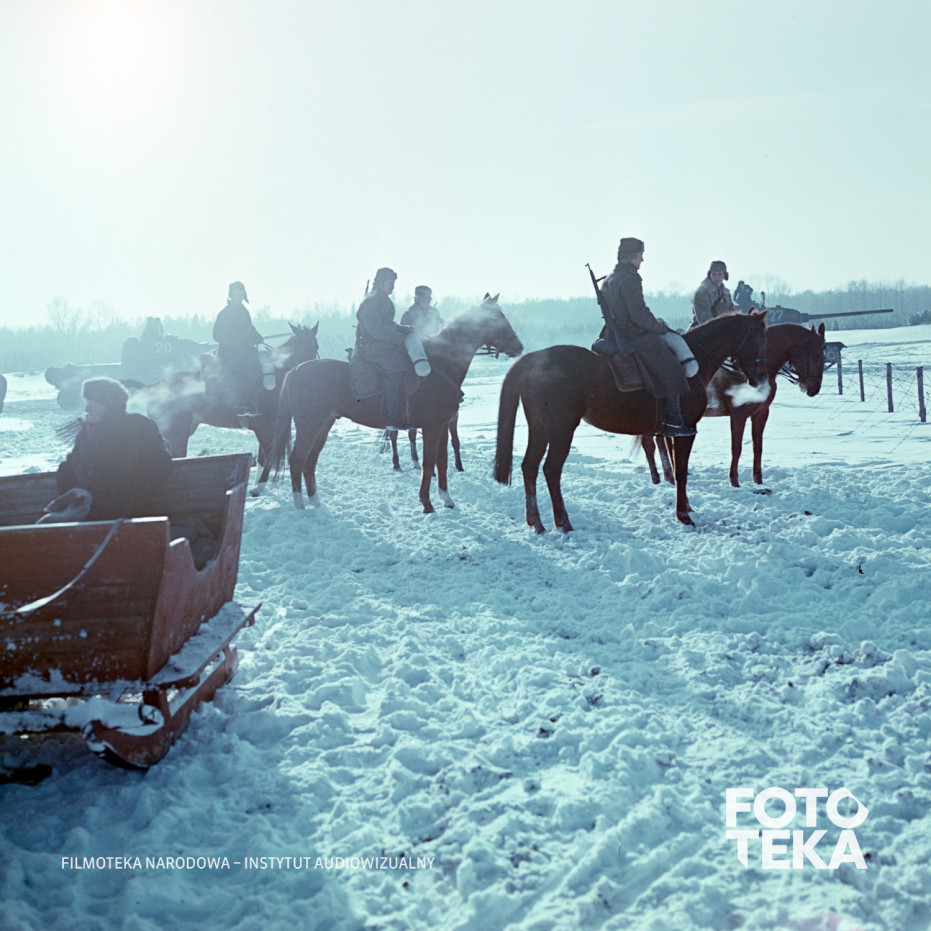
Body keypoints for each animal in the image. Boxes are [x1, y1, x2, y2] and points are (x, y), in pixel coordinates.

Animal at [146, 323, 319, 490]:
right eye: (299, 343)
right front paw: (260, 486)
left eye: (315, 345)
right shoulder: (264, 427)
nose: (308, 369)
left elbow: (263, 457)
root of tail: (152, 387)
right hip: (177, 435)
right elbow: (268, 455)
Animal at [271, 294, 523, 513]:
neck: (440, 365)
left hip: (323, 425)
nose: (519, 347)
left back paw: (315, 502)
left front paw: (447, 499)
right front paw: (427, 503)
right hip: (309, 426)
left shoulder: (441, 426)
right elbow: (428, 463)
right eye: (499, 318)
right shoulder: (431, 427)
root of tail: (295, 370)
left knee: (309, 461)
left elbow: (442, 461)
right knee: (297, 459)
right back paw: (300, 505)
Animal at [493, 310, 769, 530]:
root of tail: (532, 360)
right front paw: (683, 515)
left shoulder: (674, 433)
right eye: (761, 337)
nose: (759, 377)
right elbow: (681, 471)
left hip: (540, 428)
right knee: (551, 469)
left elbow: (676, 468)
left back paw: (536, 522)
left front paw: (687, 507)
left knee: (529, 466)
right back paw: (563, 523)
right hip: (561, 429)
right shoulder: (686, 430)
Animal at [642, 321, 826, 488]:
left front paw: (758, 480)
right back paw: (659, 478)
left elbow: (758, 447)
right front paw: (734, 481)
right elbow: (736, 447)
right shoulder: (738, 415)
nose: (814, 389)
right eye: (816, 356)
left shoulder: (761, 413)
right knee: (649, 444)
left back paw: (668, 476)